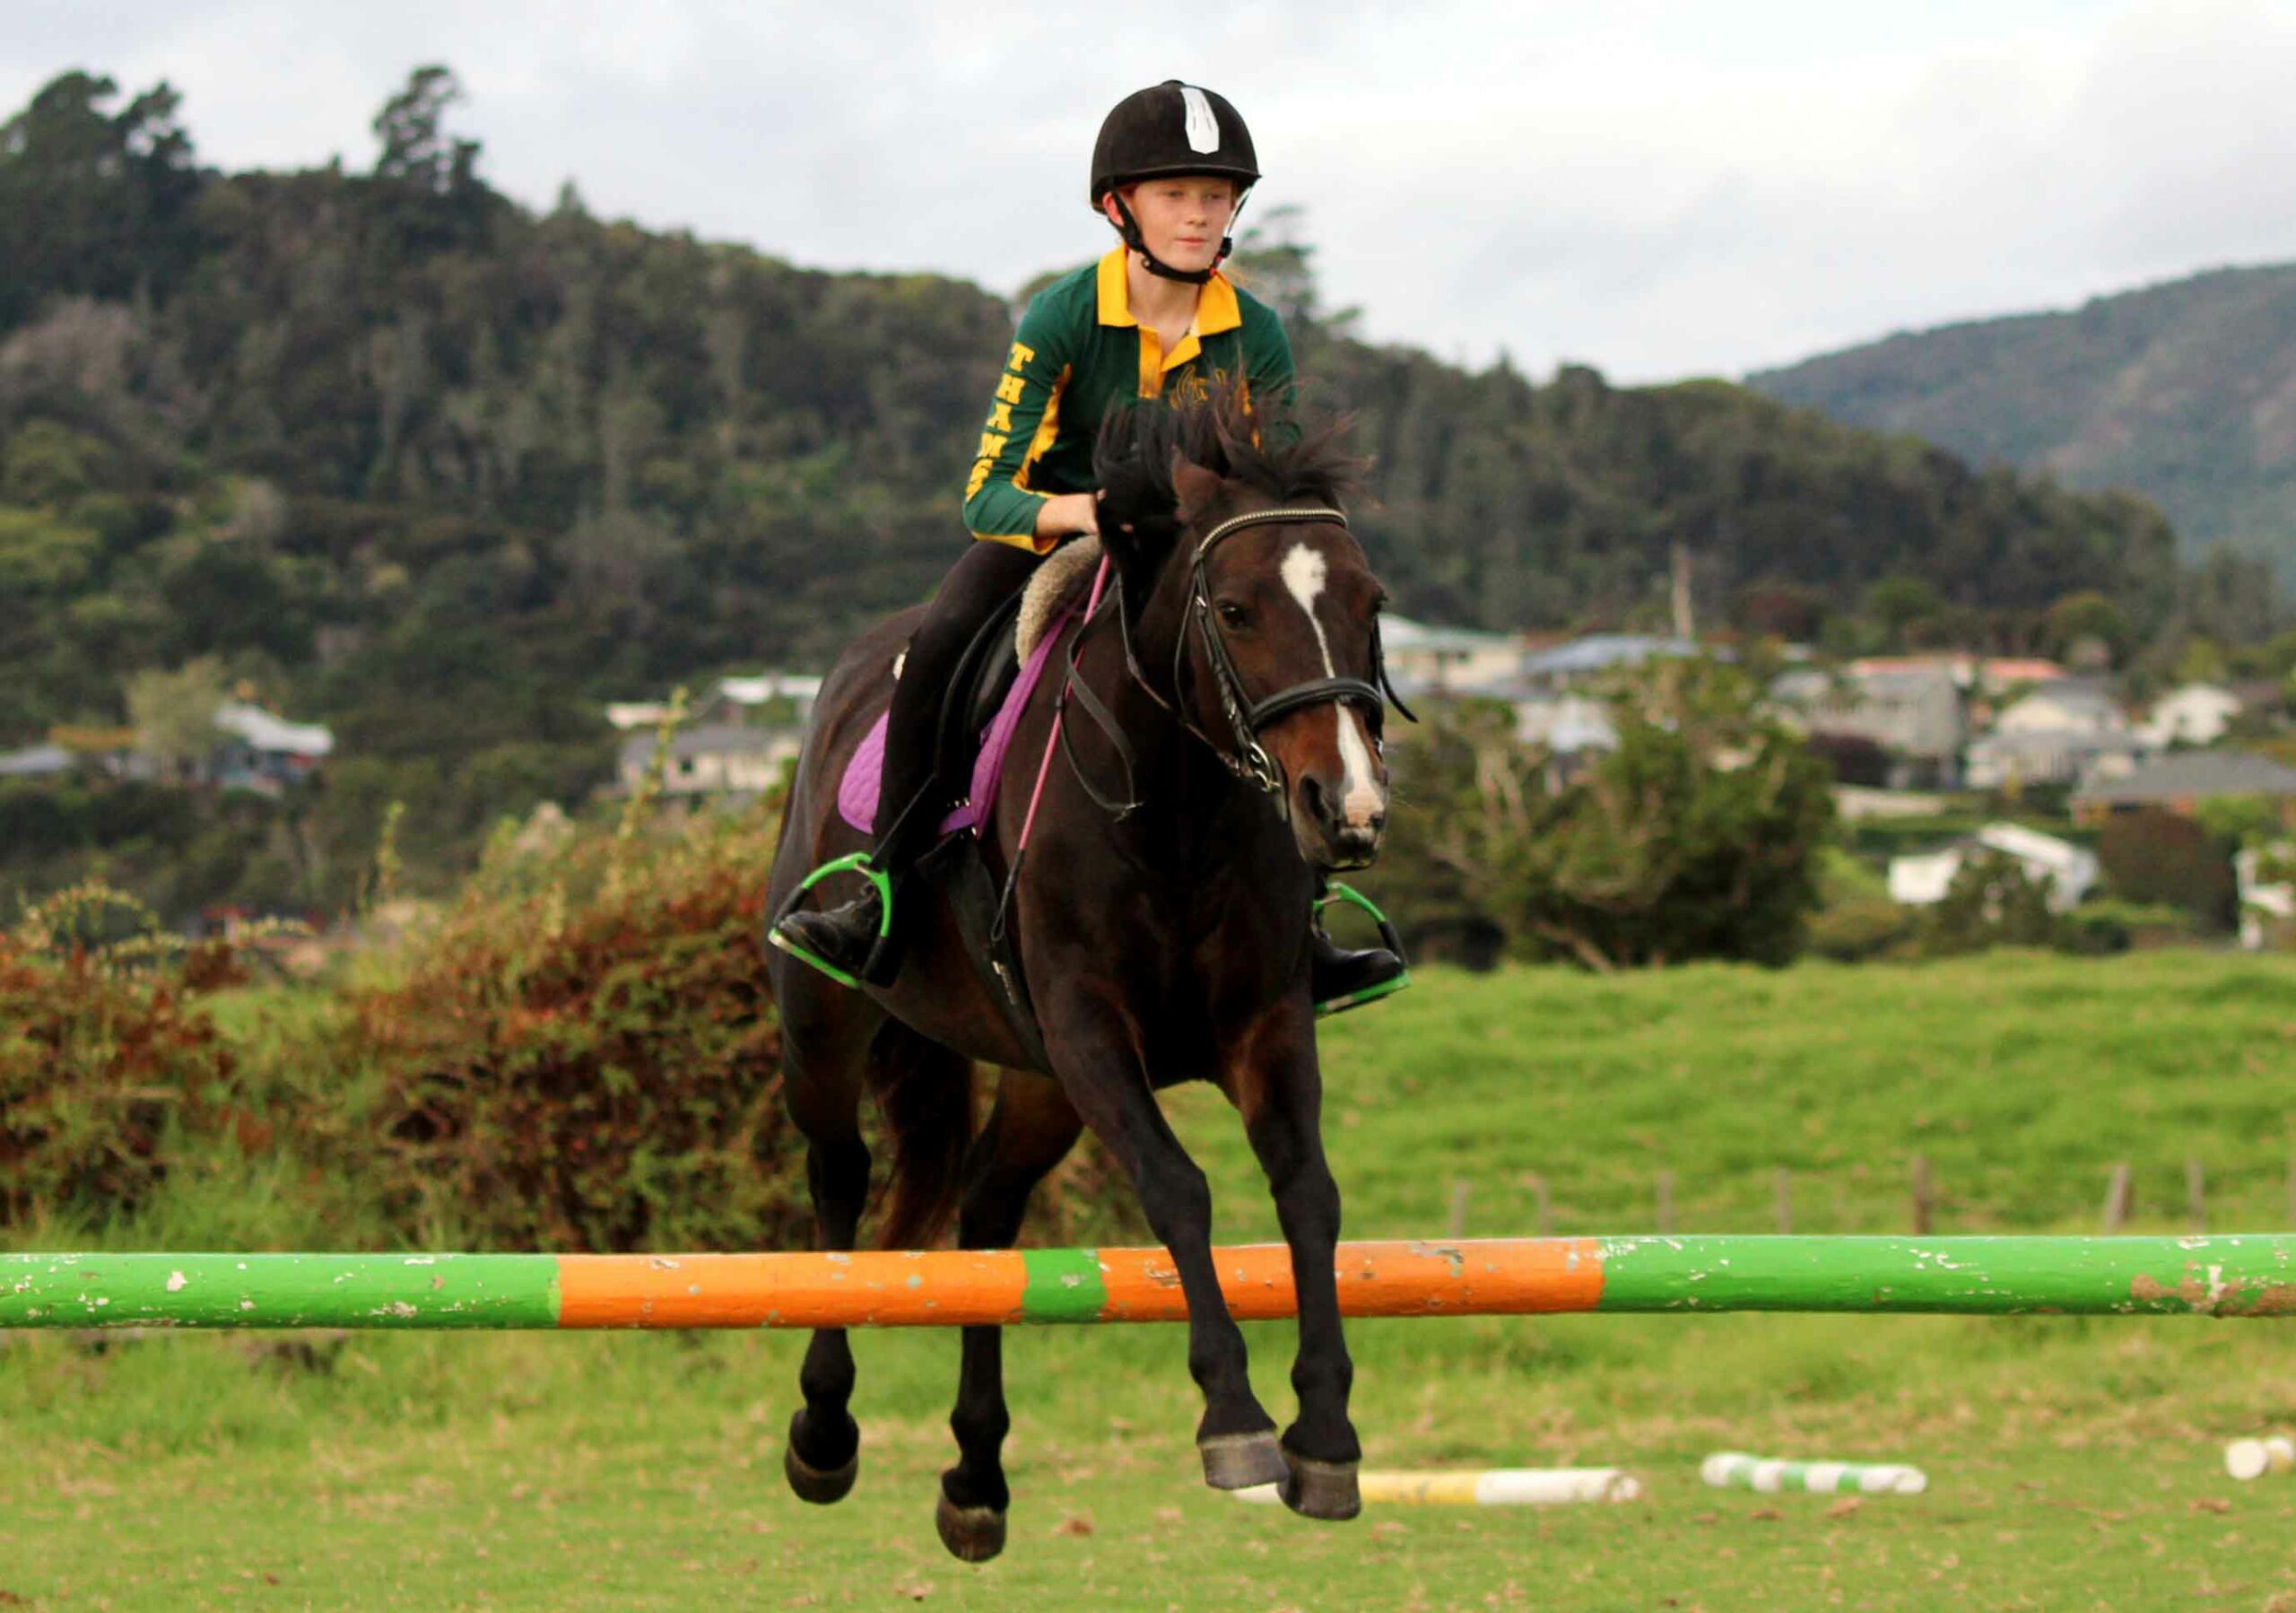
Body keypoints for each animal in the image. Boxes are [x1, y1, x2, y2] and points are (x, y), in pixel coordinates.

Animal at [767, 381, 1396, 1562]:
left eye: (1368, 602)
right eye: (1233, 610)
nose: (1349, 811)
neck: (1177, 804)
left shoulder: (1264, 1025)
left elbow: (1309, 1194)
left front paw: (1326, 1436)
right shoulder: (1089, 1025)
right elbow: (1178, 1188)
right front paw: (1236, 1422)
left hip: (1037, 1082)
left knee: (984, 1212)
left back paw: (975, 1475)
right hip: (825, 1026)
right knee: (839, 1178)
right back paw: (823, 1431)